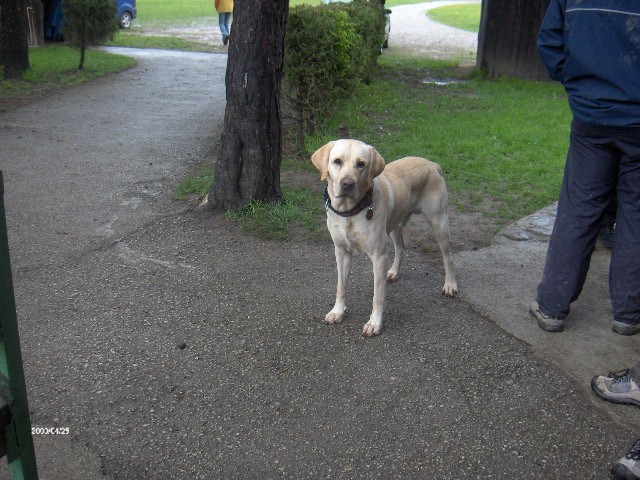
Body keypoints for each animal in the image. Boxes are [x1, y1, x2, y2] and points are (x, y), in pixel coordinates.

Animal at [312, 139, 458, 336]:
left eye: (361, 164)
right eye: (337, 161)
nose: (347, 184)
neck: (350, 211)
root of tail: (431, 164)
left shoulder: (379, 256)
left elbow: (378, 296)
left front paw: (375, 323)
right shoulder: (341, 251)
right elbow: (341, 287)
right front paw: (338, 312)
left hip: (439, 223)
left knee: (448, 257)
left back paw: (450, 284)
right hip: (396, 225)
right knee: (401, 248)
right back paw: (394, 272)